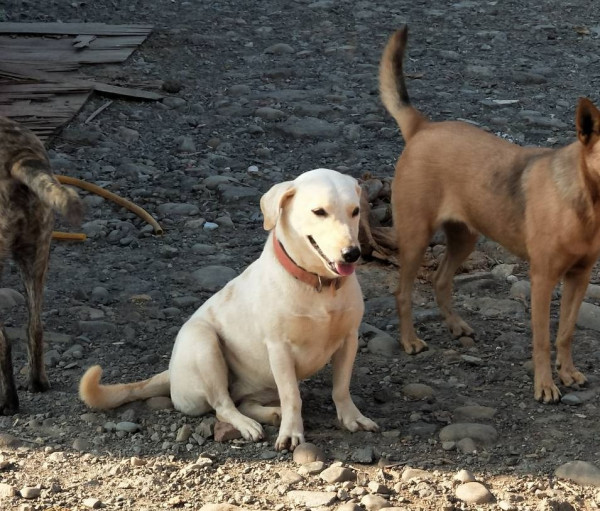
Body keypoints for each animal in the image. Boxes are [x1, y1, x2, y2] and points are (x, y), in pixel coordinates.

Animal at [79, 167, 378, 448]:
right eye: (319, 212)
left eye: (355, 211)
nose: (352, 253)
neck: (318, 286)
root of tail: (171, 374)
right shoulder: (279, 349)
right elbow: (292, 396)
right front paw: (292, 432)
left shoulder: (349, 340)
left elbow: (341, 387)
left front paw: (352, 418)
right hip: (204, 344)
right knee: (223, 406)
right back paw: (248, 424)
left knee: (245, 401)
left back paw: (272, 414)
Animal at [380, 27, 600, 404]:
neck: (585, 201)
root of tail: (423, 127)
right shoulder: (543, 280)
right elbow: (542, 339)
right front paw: (545, 385)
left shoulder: (580, 277)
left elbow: (566, 331)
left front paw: (568, 372)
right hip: (415, 238)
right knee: (402, 292)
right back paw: (410, 340)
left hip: (465, 237)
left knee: (440, 279)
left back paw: (456, 325)